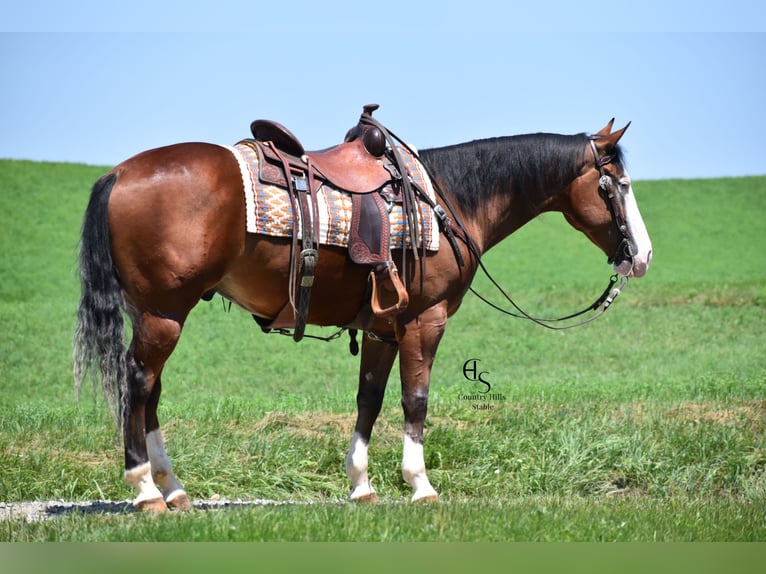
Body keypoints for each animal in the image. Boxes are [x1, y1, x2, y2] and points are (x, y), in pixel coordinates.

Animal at [73, 111, 652, 511]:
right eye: (618, 186)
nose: (642, 256)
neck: (447, 200)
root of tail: (120, 173)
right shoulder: (425, 319)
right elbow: (415, 401)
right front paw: (421, 486)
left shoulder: (382, 330)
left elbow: (368, 401)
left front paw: (362, 486)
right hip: (165, 313)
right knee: (138, 382)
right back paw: (146, 491)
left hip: (156, 313)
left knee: (150, 390)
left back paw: (174, 490)